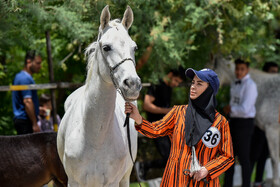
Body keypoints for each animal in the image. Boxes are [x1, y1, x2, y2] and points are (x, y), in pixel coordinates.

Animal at [57, 5, 142, 186]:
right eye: (106, 47)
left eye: (134, 48)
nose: (132, 84)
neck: (95, 137)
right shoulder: (74, 182)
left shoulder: (112, 182)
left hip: (125, 177)